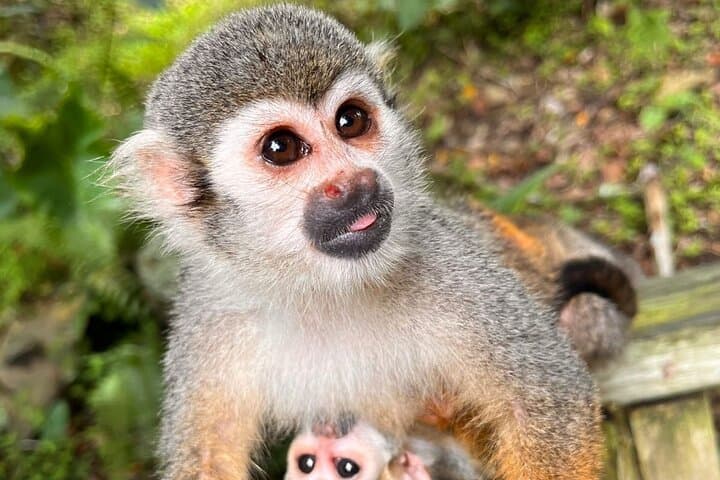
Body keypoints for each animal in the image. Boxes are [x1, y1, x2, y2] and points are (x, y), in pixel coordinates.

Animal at [111, 5, 605, 479]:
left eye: (350, 120)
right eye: (280, 148)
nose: (353, 181)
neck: (325, 286)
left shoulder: (449, 265)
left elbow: (551, 406)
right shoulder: (209, 316)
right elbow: (205, 461)